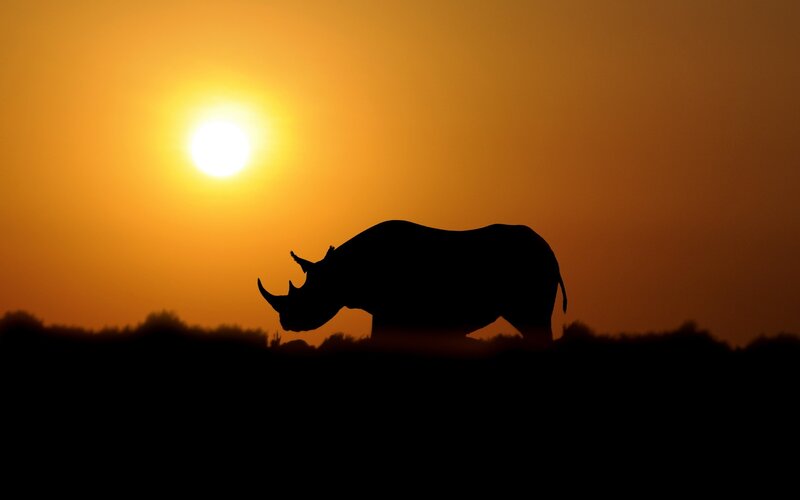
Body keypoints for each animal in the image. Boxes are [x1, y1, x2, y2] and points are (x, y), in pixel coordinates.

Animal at [258, 220, 567, 346]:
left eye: (308, 298)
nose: (287, 322)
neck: (341, 272)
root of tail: (551, 252)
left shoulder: (392, 310)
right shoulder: (387, 312)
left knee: (533, 321)